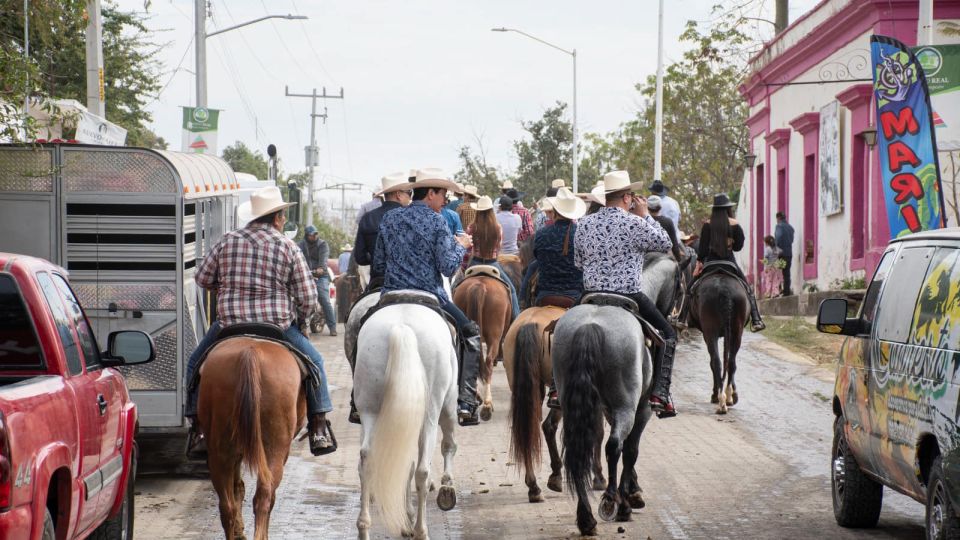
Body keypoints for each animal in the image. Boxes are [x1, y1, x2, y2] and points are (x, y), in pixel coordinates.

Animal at [199, 340, 308, 536]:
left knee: (227, 505)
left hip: (220, 451)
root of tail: (250, 354)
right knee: (264, 496)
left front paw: (239, 530)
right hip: (275, 449)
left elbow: (238, 486)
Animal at [354, 300, 460, 540]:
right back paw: (421, 530)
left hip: (369, 408)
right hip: (433, 410)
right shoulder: (448, 405)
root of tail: (402, 327)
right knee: (422, 470)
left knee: (367, 459)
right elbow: (448, 445)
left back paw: (364, 527)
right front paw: (447, 487)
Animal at [502, 306, 608, 504]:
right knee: (547, 426)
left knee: (529, 429)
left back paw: (535, 487)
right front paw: (598, 477)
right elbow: (598, 432)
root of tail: (529, 322)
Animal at [688, 272, 752, 416]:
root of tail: (724, 291)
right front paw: (732, 394)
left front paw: (715, 394)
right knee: (731, 362)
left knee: (716, 362)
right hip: (736, 331)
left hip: (710, 331)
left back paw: (721, 399)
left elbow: (714, 362)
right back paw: (727, 398)